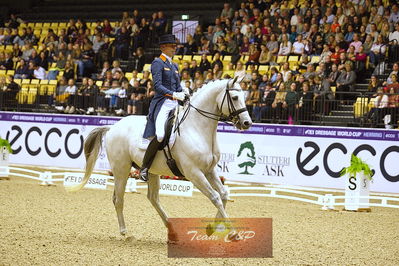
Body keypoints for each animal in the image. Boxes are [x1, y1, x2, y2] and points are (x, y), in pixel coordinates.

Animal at [67, 78, 252, 238]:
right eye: (235, 97)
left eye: (244, 97)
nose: (247, 123)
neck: (196, 128)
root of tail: (112, 127)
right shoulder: (194, 173)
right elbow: (215, 197)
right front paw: (233, 233)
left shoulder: (209, 170)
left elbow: (224, 194)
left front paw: (212, 228)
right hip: (121, 169)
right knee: (118, 199)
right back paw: (125, 232)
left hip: (152, 171)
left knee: (153, 198)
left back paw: (172, 230)